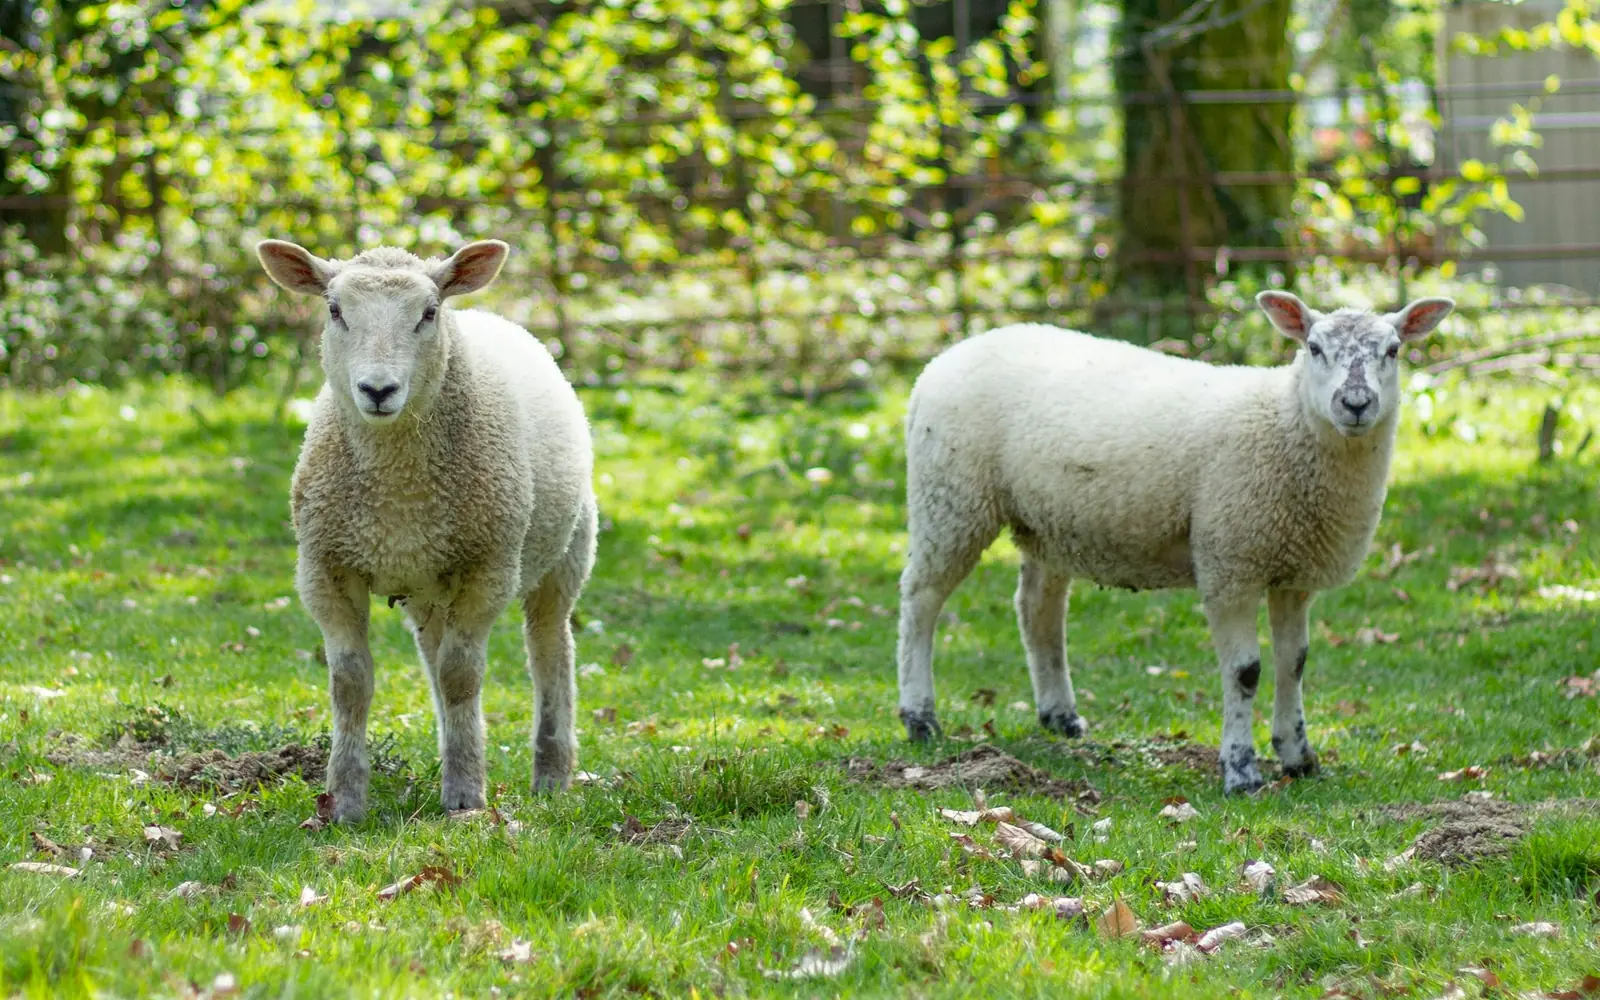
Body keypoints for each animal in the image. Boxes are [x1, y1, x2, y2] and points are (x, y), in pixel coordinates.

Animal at [256, 238, 597, 821]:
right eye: (335, 310)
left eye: (429, 313)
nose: (378, 389)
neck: (400, 490)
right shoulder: (325, 567)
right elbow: (351, 684)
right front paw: (345, 801)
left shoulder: (489, 566)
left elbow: (461, 676)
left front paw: (464, 796)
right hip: (426, 585)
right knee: (434, 655)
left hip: (566, 551)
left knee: (549, 648)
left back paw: (552, 775)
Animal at [895, 292, 1453, 793]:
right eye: (1314, 347)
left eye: (1393, 350)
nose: (1356, 404)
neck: (1284, 423)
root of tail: (949, 355)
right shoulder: (1229, 561)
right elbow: (1246, 671)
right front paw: (1241, 771)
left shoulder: (1292, 572)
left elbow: (1293, 664)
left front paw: (1299, 757)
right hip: (950, 499)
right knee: (921, 600)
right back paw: (920, 716)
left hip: (1049, 522)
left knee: (1037, 608)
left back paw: (1061, 716)